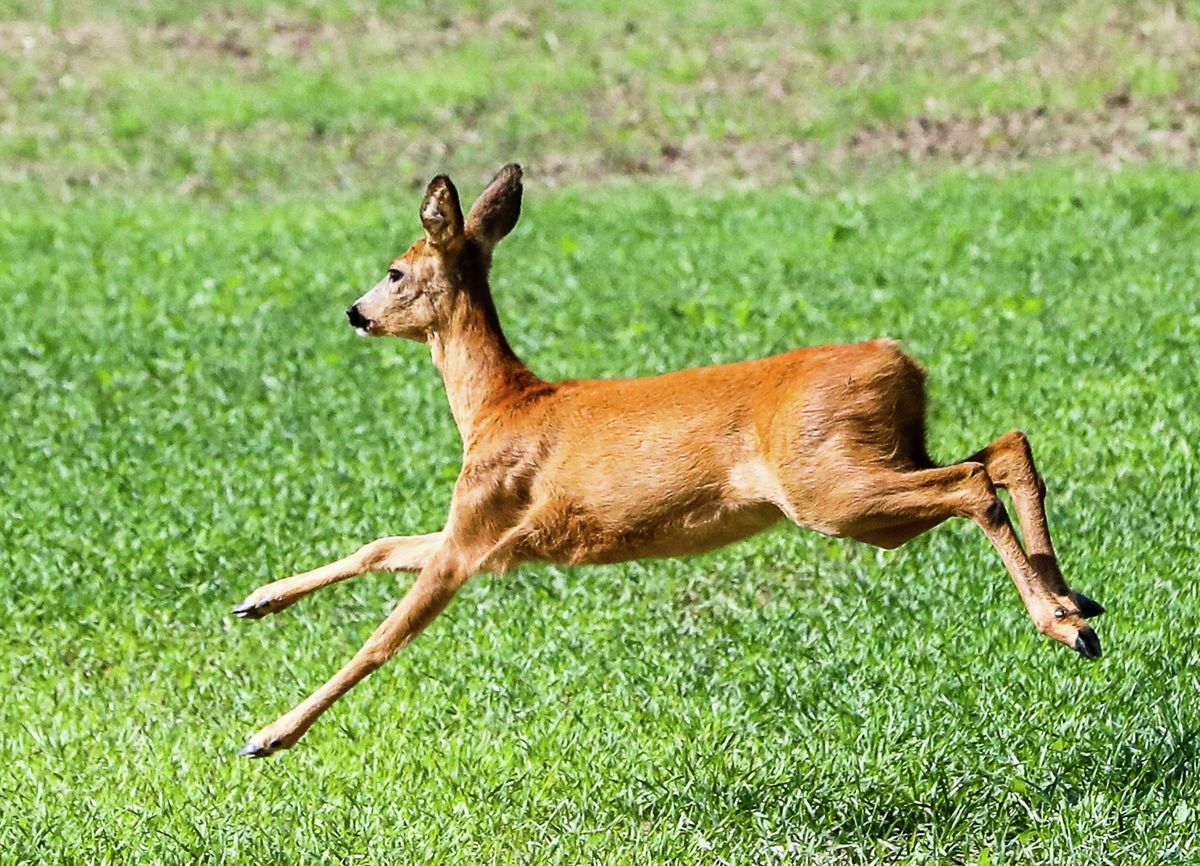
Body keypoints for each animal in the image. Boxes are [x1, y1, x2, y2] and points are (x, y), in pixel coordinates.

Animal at [234, 163, 1104, 758]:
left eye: (394, 270)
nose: (355, 312)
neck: (498, 409)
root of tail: (901, 362)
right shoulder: (496, 541)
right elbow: (380, 545)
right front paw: (256, 601)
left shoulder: (476, 527)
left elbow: (381, 640)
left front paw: (269, 735)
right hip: (880, 458)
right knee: (1006, 448)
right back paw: (1077, 601)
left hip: (831, 490)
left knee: (973, 479)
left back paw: (1061, 623)